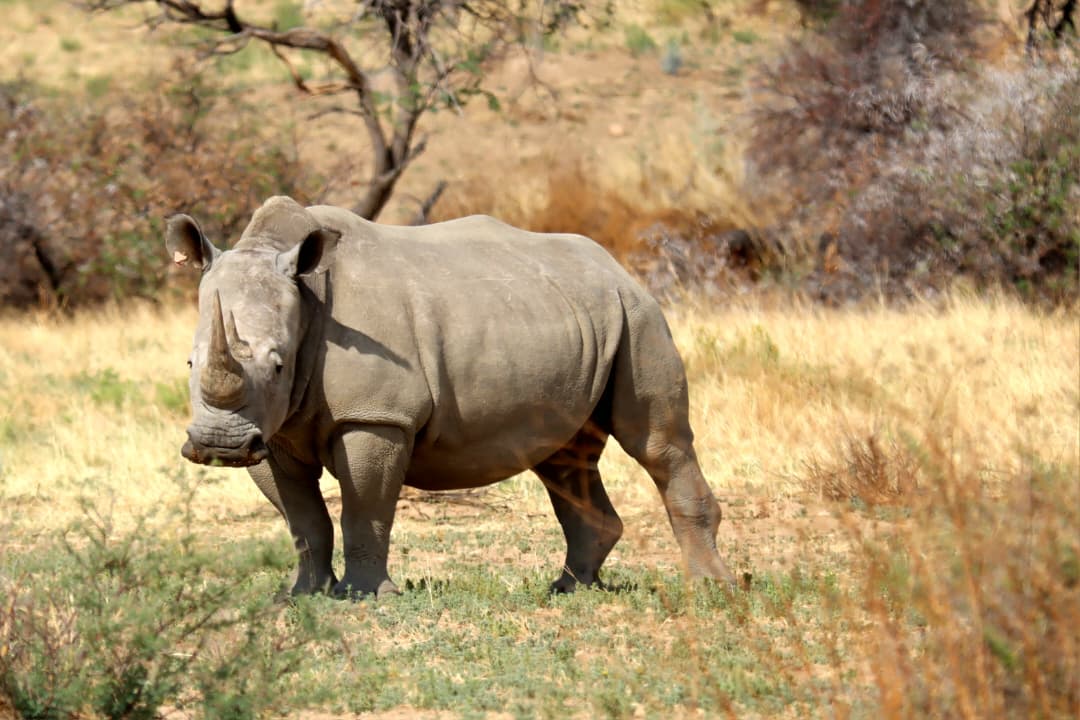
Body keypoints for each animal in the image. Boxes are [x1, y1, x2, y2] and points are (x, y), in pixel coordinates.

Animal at [167, 196, 736, 598]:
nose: (220, 446)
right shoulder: (273, 428)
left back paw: (711, 589)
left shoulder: (376, 416)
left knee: (657, 445)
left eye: (278, 364)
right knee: (562, 459)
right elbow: (303, 519)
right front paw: (301, 597)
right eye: (190, 365)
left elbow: (364, 509)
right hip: (573, 317)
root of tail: (620, 267)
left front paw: (364, 598)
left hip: (639, 316)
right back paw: (570, 589)